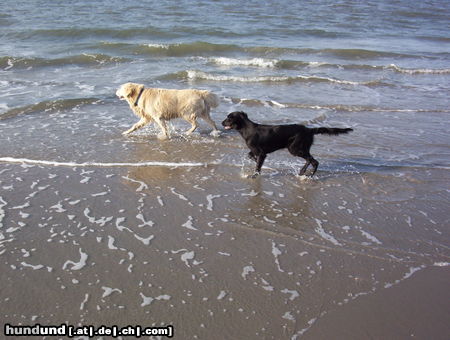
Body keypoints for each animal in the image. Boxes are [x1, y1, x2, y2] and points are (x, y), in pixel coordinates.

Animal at [223, 111, 354, 178]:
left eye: (229, 118)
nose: (221, 122)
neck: (247, 129)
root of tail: (309, 130)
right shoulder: (256, 151)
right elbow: (251, 156)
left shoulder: (261, 153)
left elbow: (258, 165)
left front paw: (255, 175)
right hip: (301, 148)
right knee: (311, 160)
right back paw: (303, 172)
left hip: (295, 148)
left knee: (314, 161)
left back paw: (308, 174)